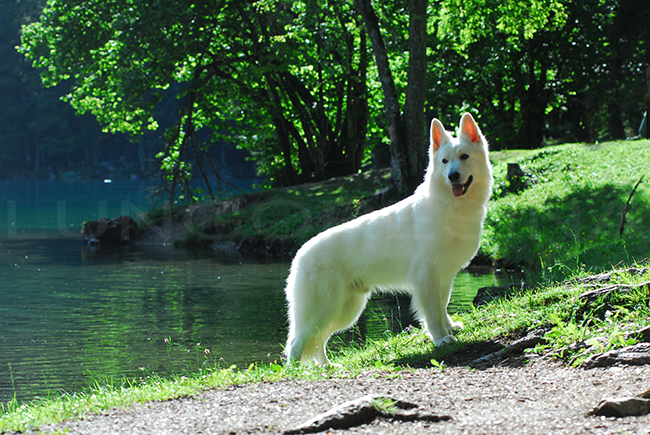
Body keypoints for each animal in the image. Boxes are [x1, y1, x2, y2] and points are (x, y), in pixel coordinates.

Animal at [284, 114, 492, 366]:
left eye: (464, 157)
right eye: (444, 161)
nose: (452, 176)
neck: (448, 207)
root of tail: (299, 254)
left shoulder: (444, 278)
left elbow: (442, 307)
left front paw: (449, 328)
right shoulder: (426, 278)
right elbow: (433, 313)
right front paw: (441, 339)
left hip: (344, 311)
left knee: (317, 342)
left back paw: (327, 368)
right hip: (325, 308)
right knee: (296, 343)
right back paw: (298, 371)